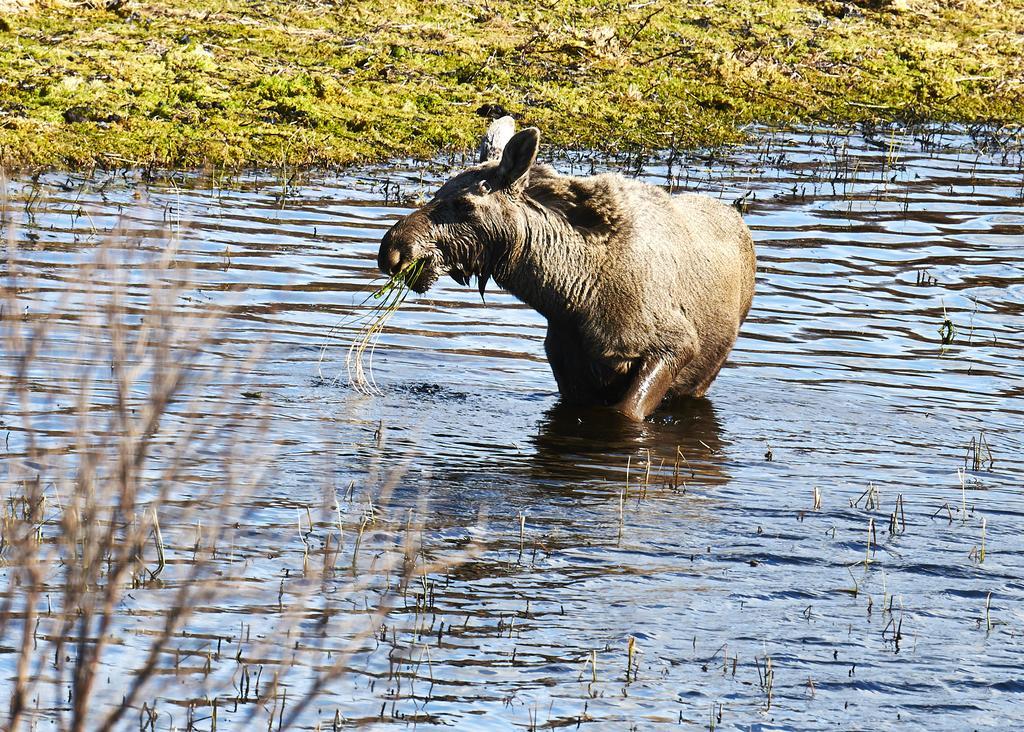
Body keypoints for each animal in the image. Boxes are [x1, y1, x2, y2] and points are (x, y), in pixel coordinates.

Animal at [376, 117, 753, 421]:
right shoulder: (567, 368)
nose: (392, 250)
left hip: (703, 376)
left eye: (465, 204)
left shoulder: (675, 345)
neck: (571, 295)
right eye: (439, 191)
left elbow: (626, 412)